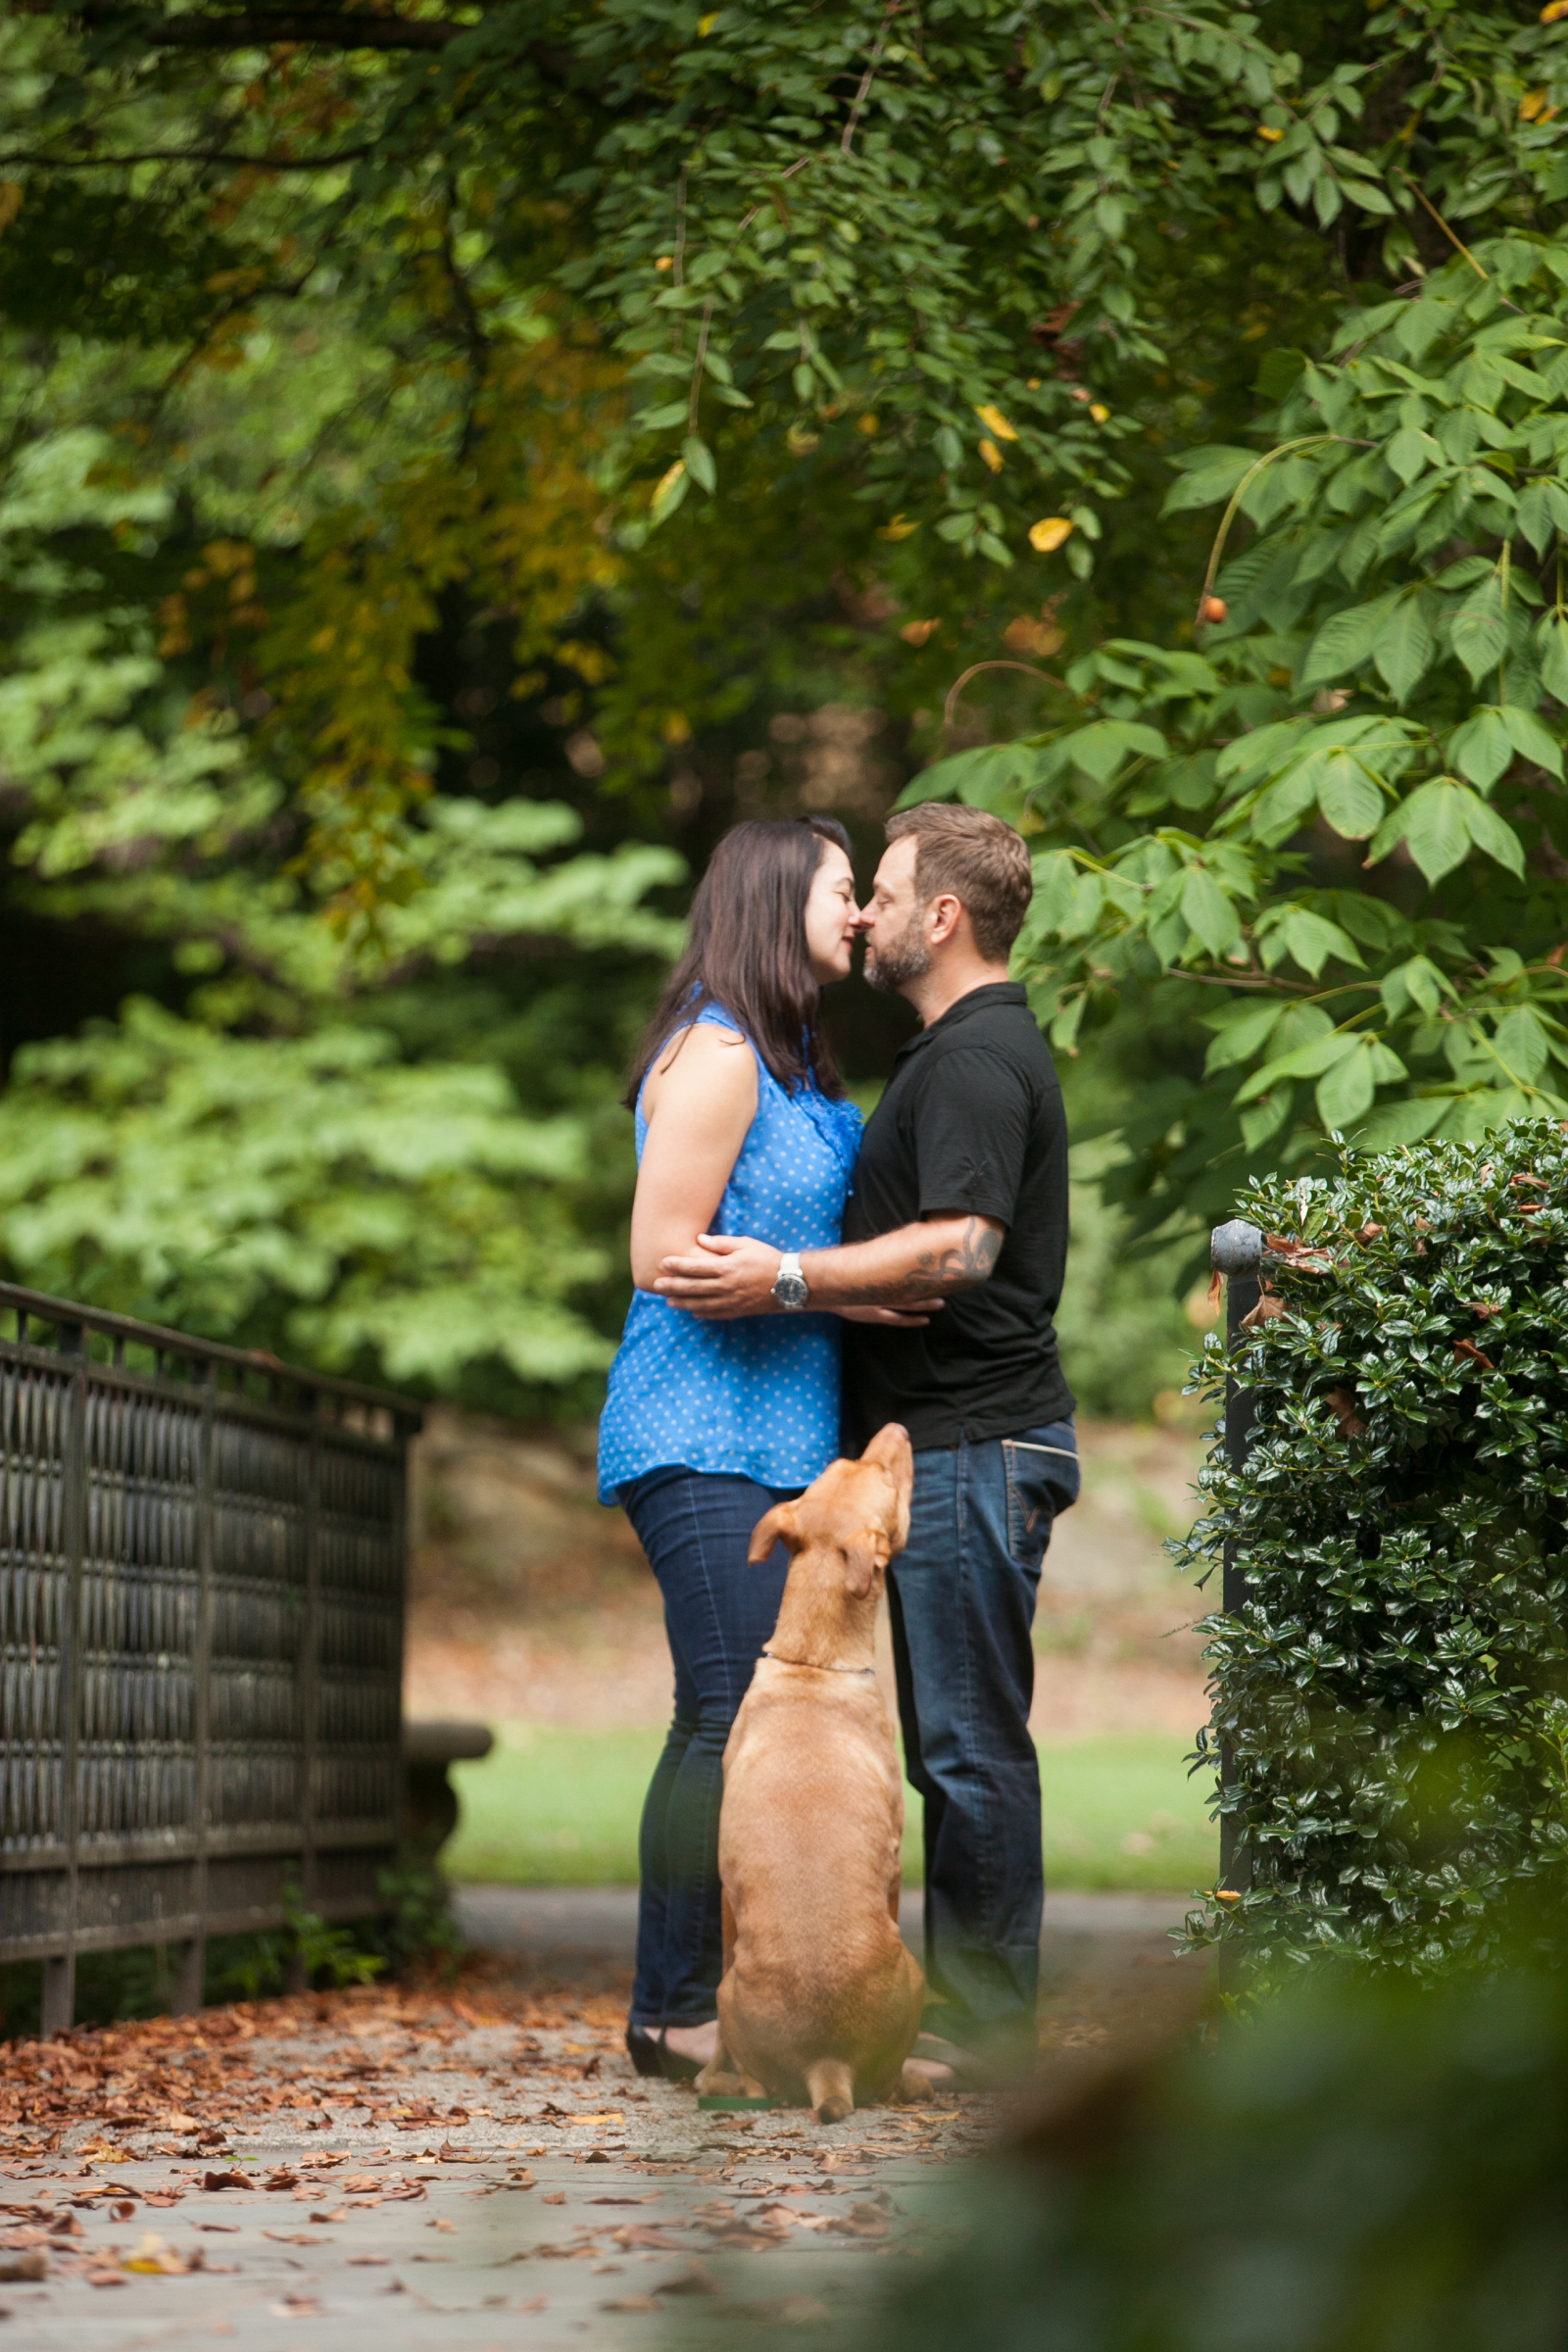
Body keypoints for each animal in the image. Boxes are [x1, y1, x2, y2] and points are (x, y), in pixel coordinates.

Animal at [694, 1423, 930, 2123]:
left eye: (842, 1461)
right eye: (886, 1476)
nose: (898, 1427)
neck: (813, 1664)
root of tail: (829, 2065)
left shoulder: (726, 1896)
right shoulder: (897, 1865)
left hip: (728, 1985)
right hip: (915, 1971)